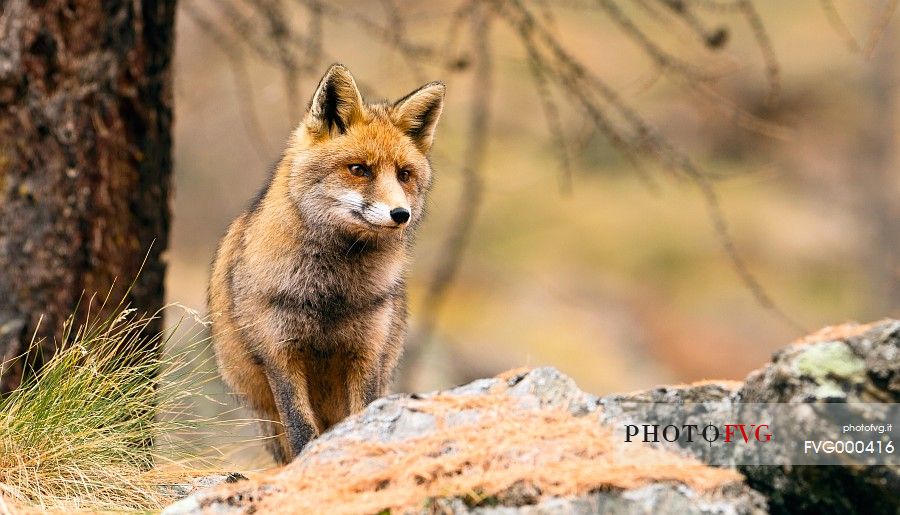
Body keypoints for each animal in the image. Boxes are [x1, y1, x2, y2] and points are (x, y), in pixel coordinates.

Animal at [208, 63, 446, 464]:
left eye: (404, 174)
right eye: (359, 169)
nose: (401, 215)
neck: (330, 294)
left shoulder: (366, 352)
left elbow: (364, 413)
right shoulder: (280, 354)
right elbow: (301, 428)